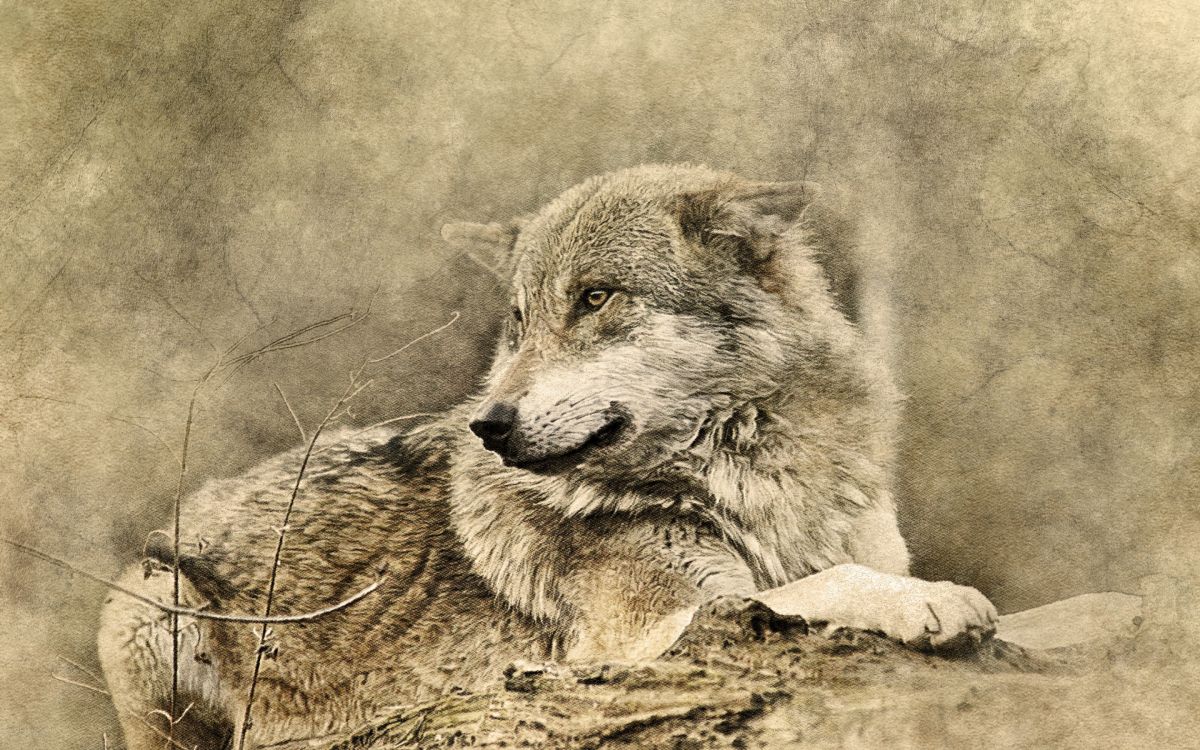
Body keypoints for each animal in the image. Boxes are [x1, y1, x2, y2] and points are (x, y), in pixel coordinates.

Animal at [98, 164, 997, 749]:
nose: (487, 425)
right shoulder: (644, 635)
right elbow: (827, 584)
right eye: (520, 319)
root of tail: (192, 504)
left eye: (595, 298)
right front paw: (937, 602)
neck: (751, 473)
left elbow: (845, 570)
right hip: (153, 601)